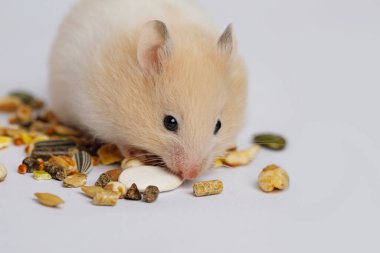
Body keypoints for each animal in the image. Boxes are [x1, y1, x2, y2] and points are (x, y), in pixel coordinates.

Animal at [49, 0, 248, 180]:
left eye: (218, 125)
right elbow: (120, 141)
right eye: (169, 122)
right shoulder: (98, 114)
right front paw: (136, 154)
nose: (191, 175)